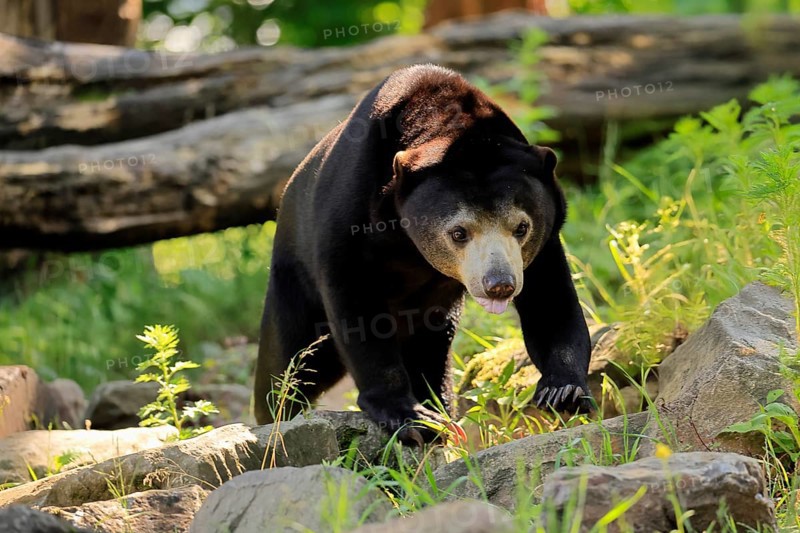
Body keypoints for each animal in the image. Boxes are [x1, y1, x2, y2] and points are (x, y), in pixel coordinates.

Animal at [253, 64, 592, 443]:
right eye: (459, 232)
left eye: (521, 227)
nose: (499, 285)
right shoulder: (349, 218)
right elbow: (356, 311)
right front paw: (408, 416)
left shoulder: (545, 240)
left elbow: (550, 300)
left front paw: (562, 391)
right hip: (292, 281)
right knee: (290, 362)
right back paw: (277, 416)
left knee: (431, 353)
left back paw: (443, 410)